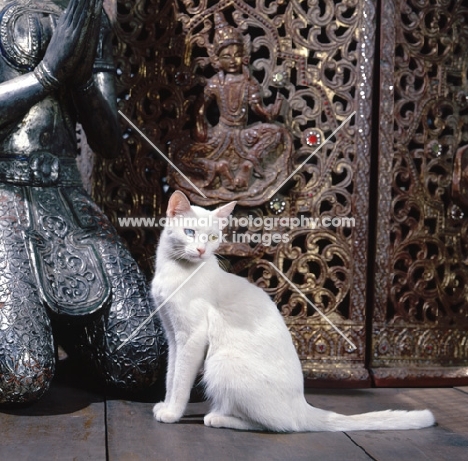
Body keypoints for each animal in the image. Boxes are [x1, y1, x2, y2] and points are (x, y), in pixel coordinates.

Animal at [152, 190, 434, 432]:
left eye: (211, 238)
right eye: (189, 232)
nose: (201, 250)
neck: (174, 271)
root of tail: (302, 405)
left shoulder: (192, 337)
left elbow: (181, 381)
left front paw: (172, 414)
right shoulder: (173, 337)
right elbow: (170, 376)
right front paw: (164, 405)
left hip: (220, 363)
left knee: (278, 425)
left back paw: (217, 418)